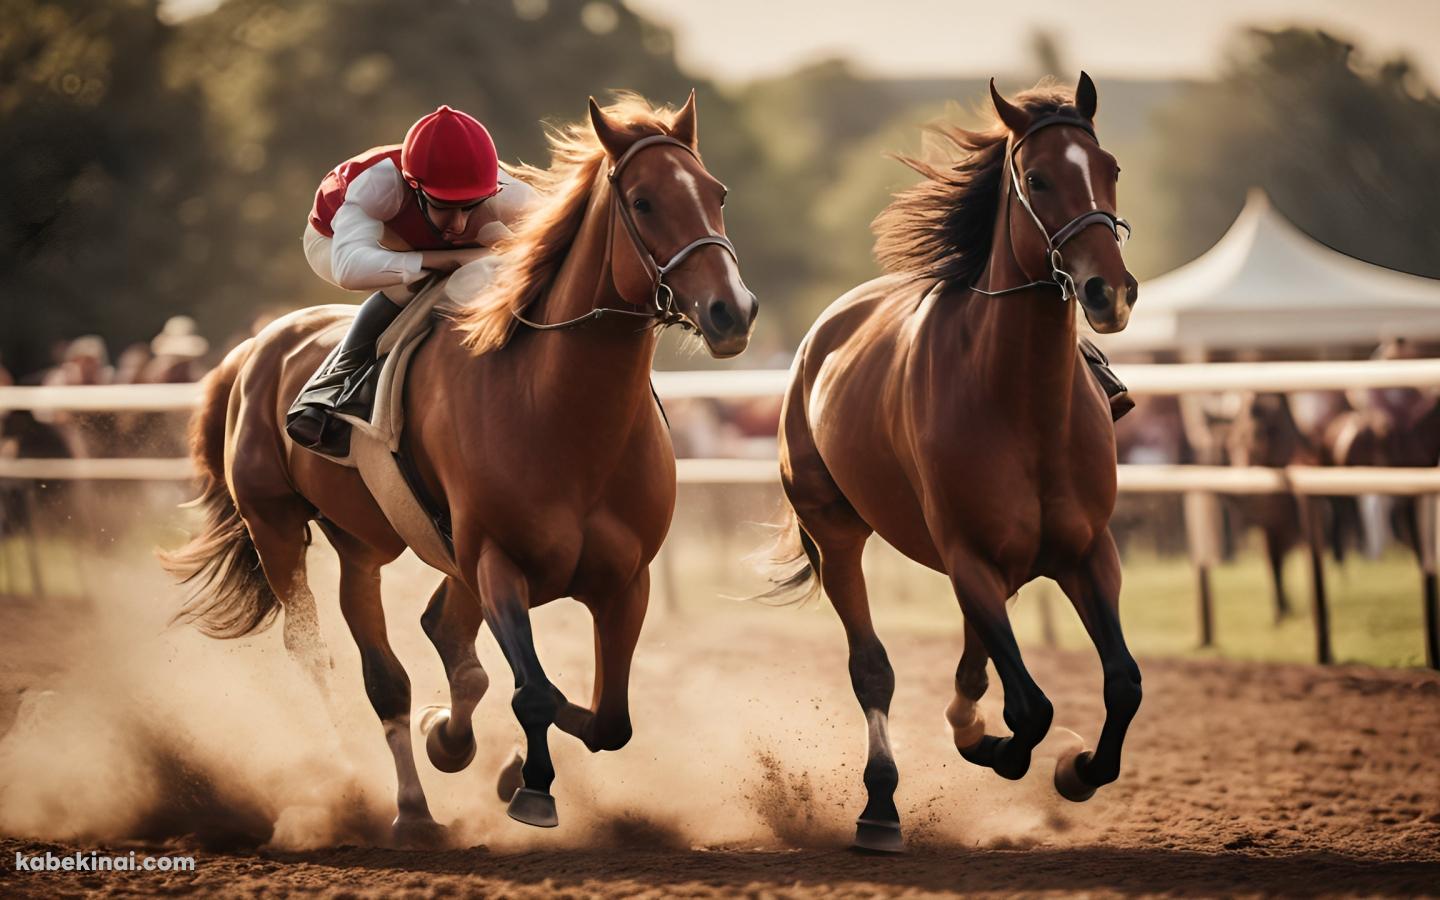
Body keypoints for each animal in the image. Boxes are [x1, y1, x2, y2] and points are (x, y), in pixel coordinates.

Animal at [163, 92, 760, 840]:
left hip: (368, 541)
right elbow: (535, 691)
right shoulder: (496, 560)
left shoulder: (626, 579)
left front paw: (479, 752)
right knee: (332, 659)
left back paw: (436, 754)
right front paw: (527, 785)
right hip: (276, 525)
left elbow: (608, 720)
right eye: (644, 202)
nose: (732, 311)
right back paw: (385, 797)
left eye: (718, 193)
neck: (562, 413)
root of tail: (254, 347)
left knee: (421, 644)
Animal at [771, 75, 1140, 846]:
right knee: (873, 668)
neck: (1024, 406)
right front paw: (1006, 750)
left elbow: (1122, 682)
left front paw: (1077, 770)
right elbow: (1030, 707)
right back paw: (881, 804)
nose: (1110, 291)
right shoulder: (968, 554)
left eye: (1110, 168)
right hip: (836, 529)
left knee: (975, 663)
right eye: (1038, 178)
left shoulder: (1089, 551)